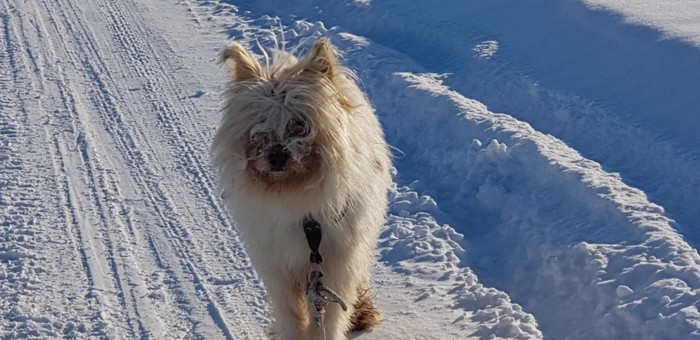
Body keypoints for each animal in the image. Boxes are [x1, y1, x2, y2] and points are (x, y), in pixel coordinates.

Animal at [211, 38, 392, 338]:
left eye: (299, 124)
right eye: (259, 127)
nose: (277, 156)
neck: (296, 198)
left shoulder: (336, 265)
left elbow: (330, 319)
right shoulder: (279, 267)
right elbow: (290, 315)